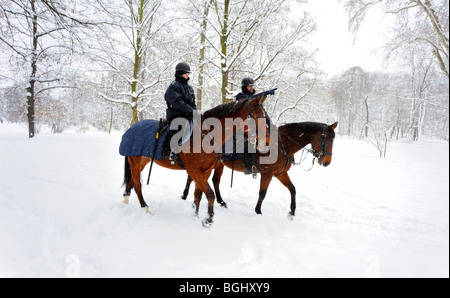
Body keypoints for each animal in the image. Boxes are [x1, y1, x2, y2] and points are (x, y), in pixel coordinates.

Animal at [120, 95, 268, 226]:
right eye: (257, 115)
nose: (264, 142)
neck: (207, 135)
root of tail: (132, 127)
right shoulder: (194, 171)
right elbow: (210, 194)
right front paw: (209, 219)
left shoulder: (205, 171)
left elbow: (199, 194)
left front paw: (195, 216)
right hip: (135, 161)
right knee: (137, 185)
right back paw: (145, 208)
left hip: (141, 162)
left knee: (131, 181)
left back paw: (125, 201)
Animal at [181, 121, 336, 219]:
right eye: (325, 139)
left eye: (333, 139)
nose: (327, 162)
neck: (282, 144)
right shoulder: (267, 174)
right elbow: (263, 193)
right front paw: (258, 211)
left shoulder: (280, 174)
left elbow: (292, 189)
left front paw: (292, 212)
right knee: (193, 177)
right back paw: (184, 195)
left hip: (217, 164)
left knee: (214, 181)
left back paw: (220, 201)